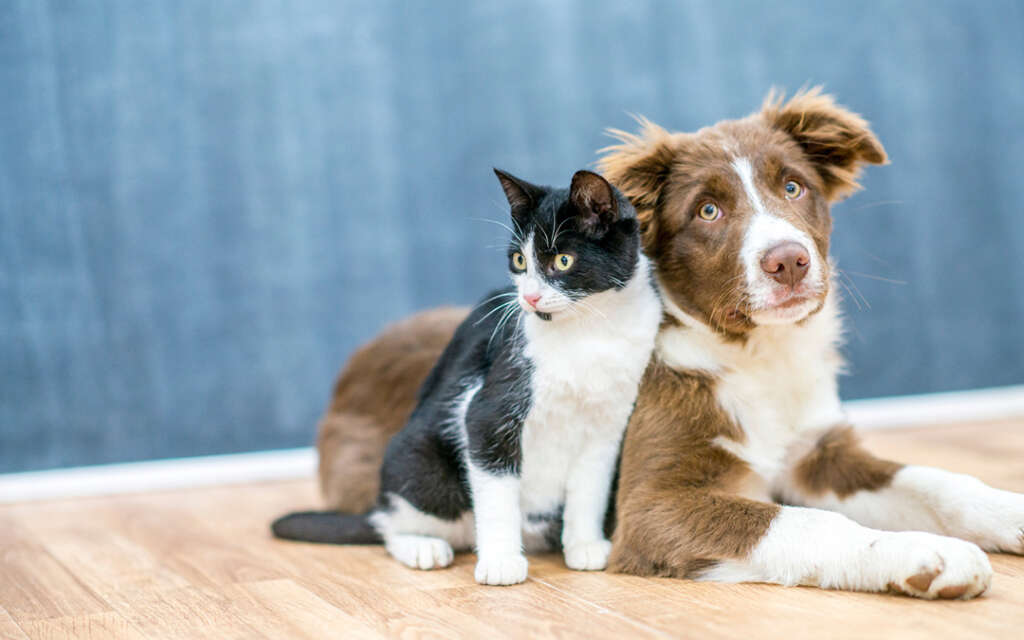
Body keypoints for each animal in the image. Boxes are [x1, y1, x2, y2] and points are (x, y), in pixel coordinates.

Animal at [272, 168, 659, 585]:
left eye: (563, 260)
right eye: (519, 260)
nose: (530, 298)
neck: (589, 331)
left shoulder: (608, 426)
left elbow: (590, 488)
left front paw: (585, 545)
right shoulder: (487, 411)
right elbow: (497, 490)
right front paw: (501, 562)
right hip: (421, 465)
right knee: (390, 523)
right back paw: (421, 546)